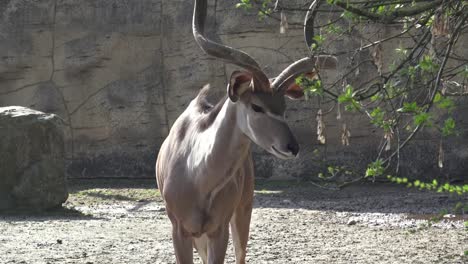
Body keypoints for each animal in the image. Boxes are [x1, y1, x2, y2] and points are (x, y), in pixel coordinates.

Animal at [156, 0, 336, 262]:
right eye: (257, 106)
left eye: (283, 108)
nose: (292, 147)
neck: (196, 174)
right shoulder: (179, 230)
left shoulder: (218, 229)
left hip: (243, 211)